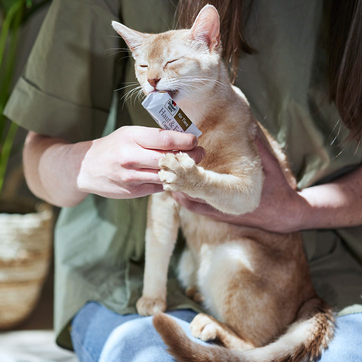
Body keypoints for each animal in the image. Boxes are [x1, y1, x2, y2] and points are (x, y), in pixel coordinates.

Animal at [112, 5, 334, 362]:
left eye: (172, 61)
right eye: (143, 65)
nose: (152, 81)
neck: (197, 124)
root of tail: (312, 297)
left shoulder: (251, 186)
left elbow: (213, 183)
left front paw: (185, 171)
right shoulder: (162, 204)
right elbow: (156, 253)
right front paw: (153, 299)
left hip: (233, 255)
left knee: (254, 345)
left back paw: (210, 324)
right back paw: (195, 294)